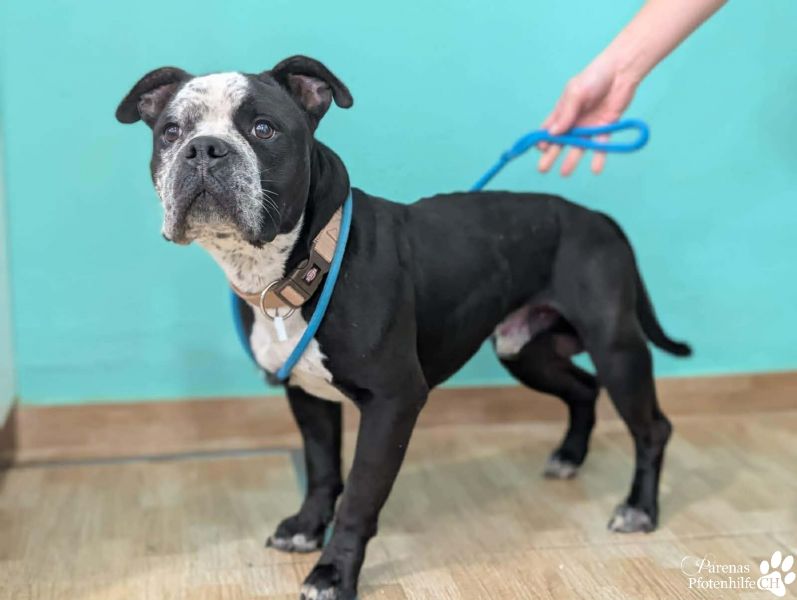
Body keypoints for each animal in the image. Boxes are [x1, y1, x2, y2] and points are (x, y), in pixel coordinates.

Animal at [116, 55, 690, 600]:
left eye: (263, 129)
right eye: (171, 131)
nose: (204, 149)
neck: (297, 262)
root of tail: (598, 217)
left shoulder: (393, 401)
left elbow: (359, 495)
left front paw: (333, 573)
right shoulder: (307, 395)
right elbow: (322, 471)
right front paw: (306, 528)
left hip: (616, 348)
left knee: (651, 427)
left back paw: (640, 509)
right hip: (526, 352)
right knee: (583, 388)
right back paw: (570, 457)